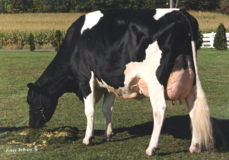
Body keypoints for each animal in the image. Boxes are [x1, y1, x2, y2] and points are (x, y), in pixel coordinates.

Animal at [27, 9, 215, 156]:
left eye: (30, 100)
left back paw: (151, 148)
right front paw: (107, 135)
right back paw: (194, 146)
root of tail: (181, 13)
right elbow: (107, 109)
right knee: (193, 107)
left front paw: (87, 138)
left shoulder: (85, 77)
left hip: (155, 78)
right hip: (190, 77)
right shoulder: (110, 81)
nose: (31, 125)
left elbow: (89, 110)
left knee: (160, 109)